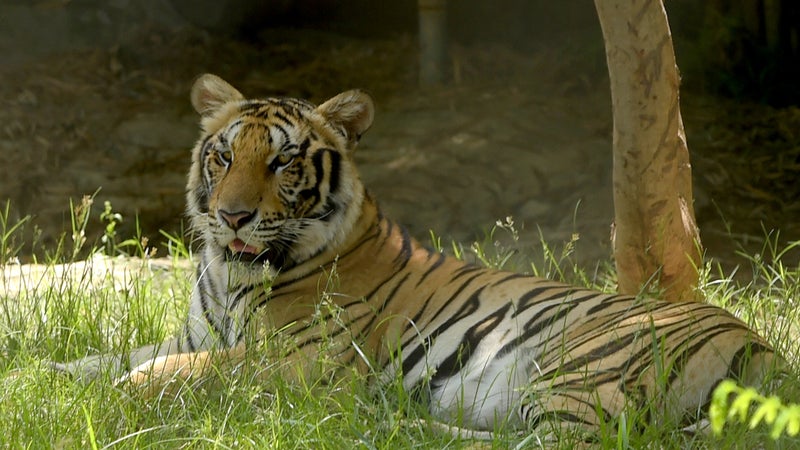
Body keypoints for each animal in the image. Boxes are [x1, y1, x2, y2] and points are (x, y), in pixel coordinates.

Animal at [55, 73, 779, 438]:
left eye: (283, 162)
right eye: (224, 156)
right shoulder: (192, 334)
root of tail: (766, 352)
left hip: (579, 372)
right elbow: (109, 357)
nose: (232, 216)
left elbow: (177, 372)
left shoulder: (301, 361)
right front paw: (45, 375)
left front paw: (123, 398)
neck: (233, 275)